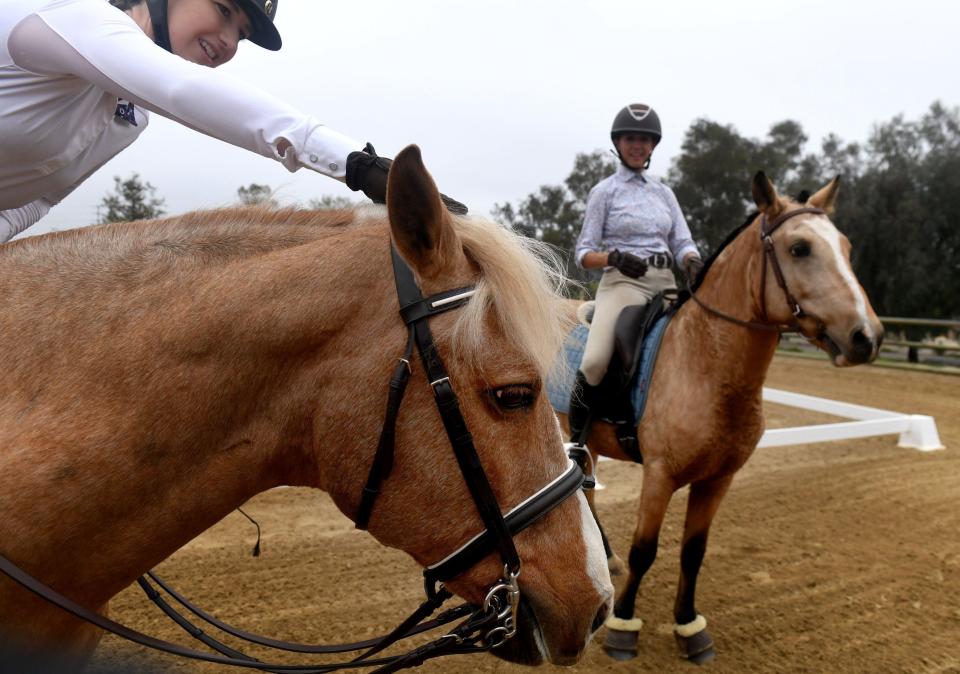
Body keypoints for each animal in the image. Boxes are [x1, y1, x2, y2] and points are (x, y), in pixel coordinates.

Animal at [556, 172, 884, 660]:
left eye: (845, 246)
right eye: (800, 248)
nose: (867, 337)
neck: (705, 362)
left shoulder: (718, 480)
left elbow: (694, 552)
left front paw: (689, 626)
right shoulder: (660, 475)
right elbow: (644, 550)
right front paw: (623, 627)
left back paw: (605, 560)